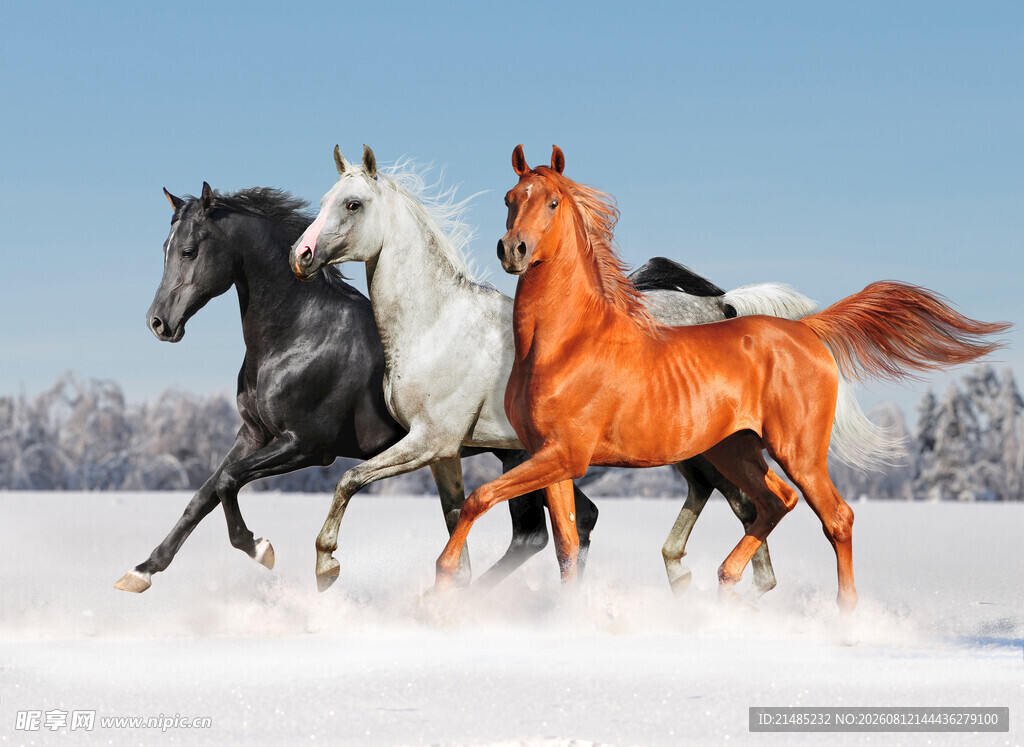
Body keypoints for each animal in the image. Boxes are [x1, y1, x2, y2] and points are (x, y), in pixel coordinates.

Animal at [115, 183, 598, 592]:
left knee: (538, 531)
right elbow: (205, 493)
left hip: (516, 453)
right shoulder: (253, 433)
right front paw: (141, 571)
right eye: (165, 249)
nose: (159, 323)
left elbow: (229, 482)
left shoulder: (307, 446)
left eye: (189, 250)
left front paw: (261, 549)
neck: (300, 332)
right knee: (569, 521)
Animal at [289, 146, 819, 595]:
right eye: (325, 200)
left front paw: (326, 566)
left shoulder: (430, 441)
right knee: (729, 499)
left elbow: (348, 479)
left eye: (353, 204)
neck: (436, 322)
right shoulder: (444, 454)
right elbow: (455, 521)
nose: (301, 256)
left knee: (746, 504)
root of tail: (721, 307)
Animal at [433, 144, 1010, 612]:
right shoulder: (548, 456)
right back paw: (725, 582)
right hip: (735, 449)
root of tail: (805, 330)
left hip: (796, 450)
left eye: (551, 202)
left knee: (835, 516)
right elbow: (567, 549)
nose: (512, 250)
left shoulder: (565, 455)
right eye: (510, 196)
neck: (566, 343)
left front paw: (441, 583)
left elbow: (479, 500)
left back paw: (843, 617)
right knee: (774, 502)